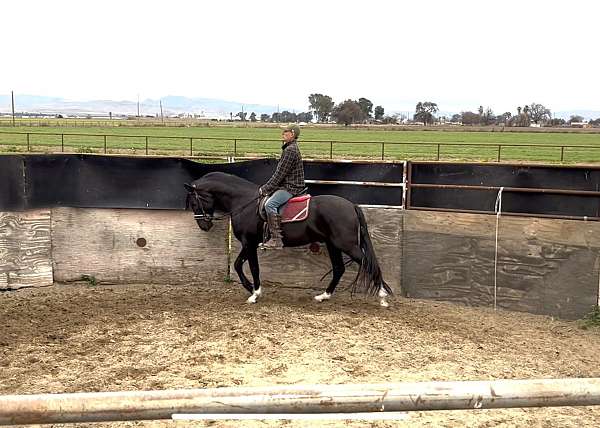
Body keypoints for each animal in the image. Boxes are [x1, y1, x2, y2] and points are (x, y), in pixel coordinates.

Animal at [185, 172, 392, 306]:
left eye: (194, 202)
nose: (204, 226)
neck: (244, 202)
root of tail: (351, 206)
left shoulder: (249, 243)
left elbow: (253, 268)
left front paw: (255, 294)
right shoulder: (248, 244)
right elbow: (237, 265)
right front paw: (250, 288)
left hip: (347, 245)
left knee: (367, 263)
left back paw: (382, 296)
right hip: (333, 245)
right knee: (339, 269)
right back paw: (324, 296)